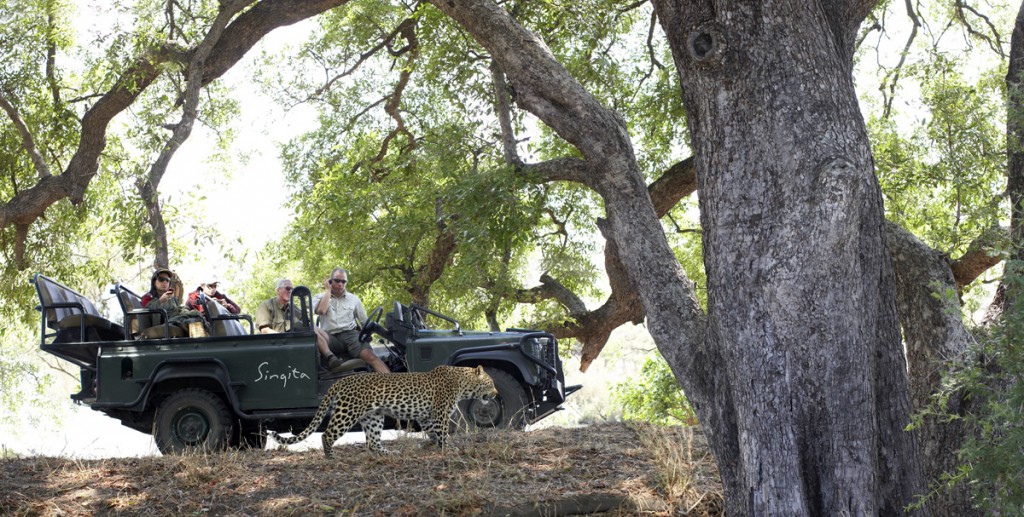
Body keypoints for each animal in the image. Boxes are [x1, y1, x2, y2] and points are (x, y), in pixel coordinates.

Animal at [270, 362, 497, 454]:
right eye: (490, 383)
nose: (496, 394)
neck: (462, 383)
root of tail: (341, 381)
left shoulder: (426, 416)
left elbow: (433, 433)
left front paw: (435, 445)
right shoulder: (440, 414)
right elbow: (442, 432)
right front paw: (447, 449)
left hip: (373, 417)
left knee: (372, 442)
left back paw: (389, 453)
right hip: (347, 413)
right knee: (327, 435)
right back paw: (330, 458)